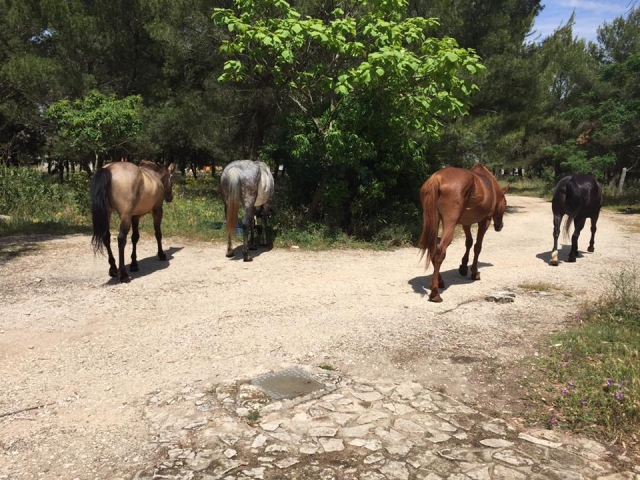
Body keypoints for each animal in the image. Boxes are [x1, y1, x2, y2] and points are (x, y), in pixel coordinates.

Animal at [419, 163, 509, 302]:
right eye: (506, 203)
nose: (500, 226)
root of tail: (437, 178)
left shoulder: (466, 223)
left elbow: (469, 242)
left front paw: (463, 267)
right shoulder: (485, 221)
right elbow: (477, 247)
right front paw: (474, 272)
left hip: (434, 221)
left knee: (433, 249)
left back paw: (439, 282)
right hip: (450, 224)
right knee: (440, 252)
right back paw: (435, 293)